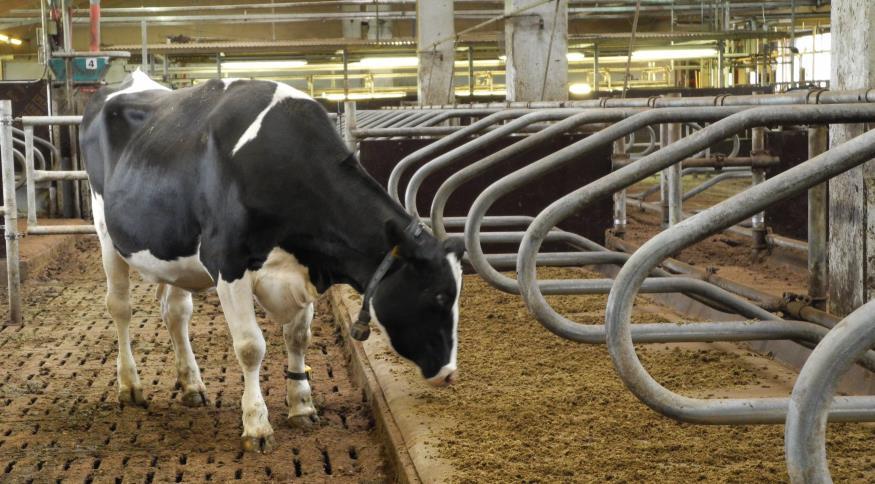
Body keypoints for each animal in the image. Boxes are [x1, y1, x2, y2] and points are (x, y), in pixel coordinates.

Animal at [80, 70, 466, 452]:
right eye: (438, 296)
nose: (449, 373)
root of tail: (131, 80)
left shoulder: (305, 270)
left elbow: (298, 338)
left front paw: (302, 406)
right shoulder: (228, 262)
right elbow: (251, 347)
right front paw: (257, 425)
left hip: (174, 253)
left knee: (176, 313)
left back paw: (191, 385)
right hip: (105, 231)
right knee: (120, 308)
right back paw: (130, 385)